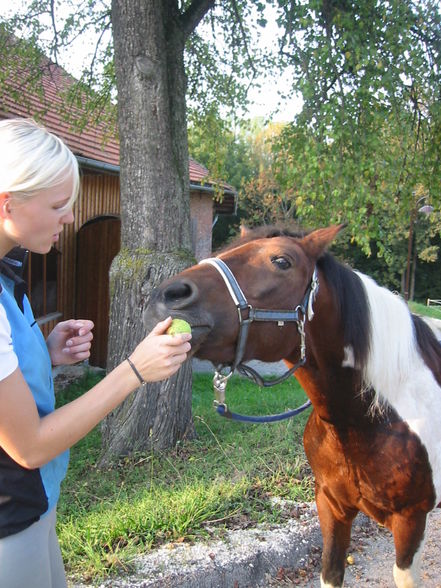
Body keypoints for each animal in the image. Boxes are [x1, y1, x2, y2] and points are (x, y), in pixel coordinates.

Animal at [150, 226, 438, 588]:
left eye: (282, 261)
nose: (169, 295)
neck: (369, 419)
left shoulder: (411, 519)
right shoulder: (330, 505)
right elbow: (330, 571)